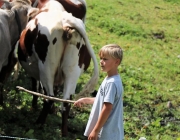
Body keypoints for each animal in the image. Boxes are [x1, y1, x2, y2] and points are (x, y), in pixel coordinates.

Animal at [16, 0, 98, 136]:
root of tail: (66, 21)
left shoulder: (34, 70)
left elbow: (35, 88)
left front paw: (34, 107)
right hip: (72, 72)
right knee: (65, 103)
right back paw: (64, 133)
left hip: (46, 68)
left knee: (50, 98)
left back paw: (38, 124)